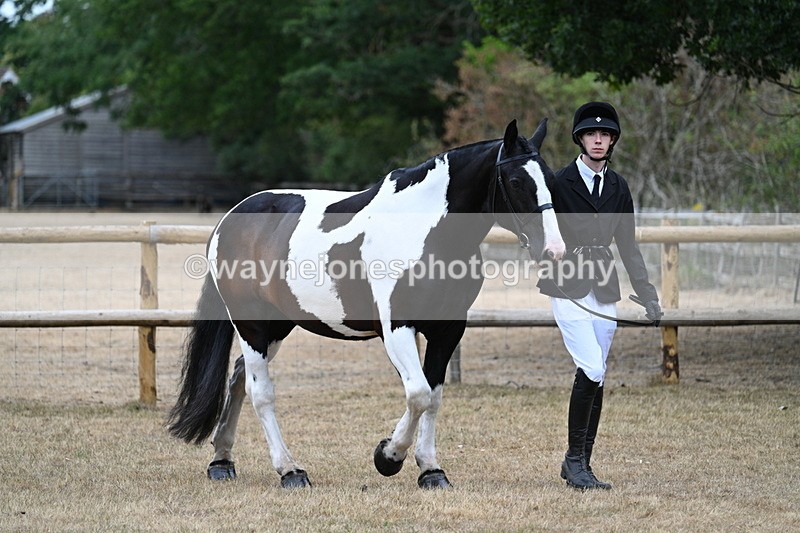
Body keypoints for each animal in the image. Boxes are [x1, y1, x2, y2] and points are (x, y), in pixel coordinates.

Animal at [167, 118, 566, 489]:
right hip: (251, 324)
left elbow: (433, 396)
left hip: (278, 325)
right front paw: (388, 456)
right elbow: (418, 393)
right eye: (516, 181)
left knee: (237, 377)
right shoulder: (397, 328)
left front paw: (431, 470)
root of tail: (230, 219)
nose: (553, 250)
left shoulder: (448, 329)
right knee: (259, 391)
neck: (425, 231)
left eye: (551, 179)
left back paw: (222, 461)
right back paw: (290, 470)